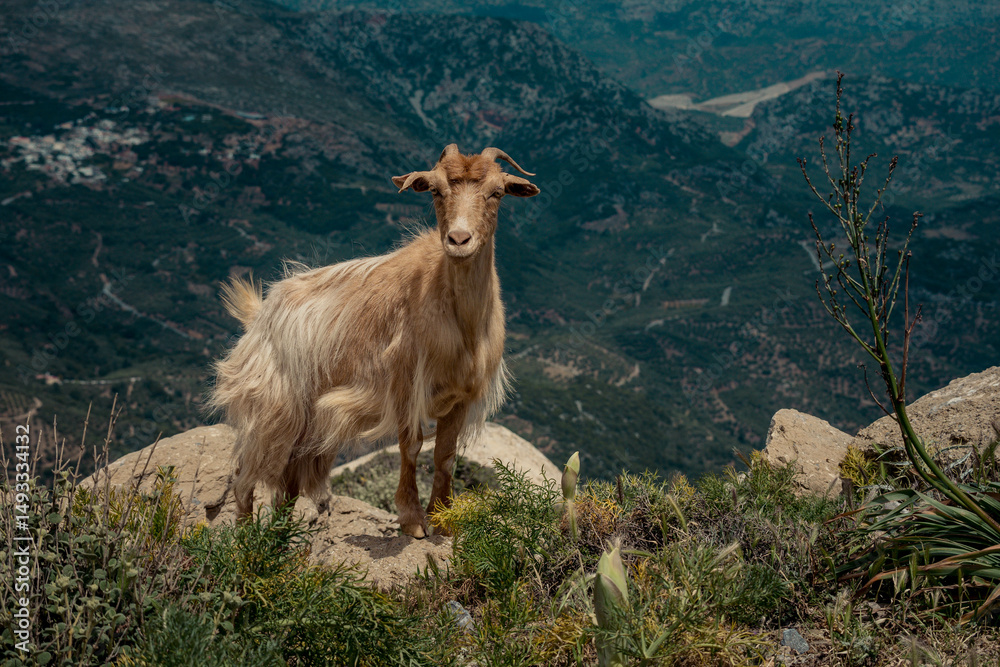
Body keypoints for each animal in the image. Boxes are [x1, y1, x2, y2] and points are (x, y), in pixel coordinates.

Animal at [207, 144, 539, 538]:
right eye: (436, 191)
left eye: (497, 192)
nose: (459, 240)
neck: (460, 320)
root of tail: (260, 312)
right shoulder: (405, 386)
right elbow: (411, 447)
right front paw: (412, 520)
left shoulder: (461, 395)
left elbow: (445, 455)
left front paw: (443, 518)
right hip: (274, 409)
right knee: (246, 475)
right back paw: (247, 540)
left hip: (306, 426)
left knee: (286, 484)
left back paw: (280, 536)